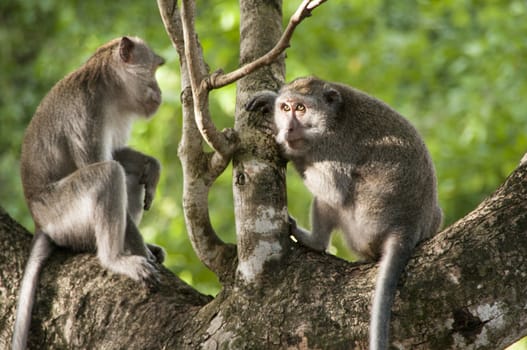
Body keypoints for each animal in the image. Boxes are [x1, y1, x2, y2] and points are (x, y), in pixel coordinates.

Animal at [12, 36, 166, 350]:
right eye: (154, 70)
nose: (160, 91)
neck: (109, 87)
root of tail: (39, 222)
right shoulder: (87, 114)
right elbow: (100, 163)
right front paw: (141, 252)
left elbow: (117, 154)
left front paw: (151, 166)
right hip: (61, 214)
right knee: (108, 174)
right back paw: (115, 259)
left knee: (127, 176)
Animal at [246, 77, 442, 350]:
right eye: (286, 108)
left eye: (301, 108)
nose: (289, 129)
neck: (331, 119)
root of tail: (407, 225)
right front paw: (269, 99)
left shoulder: (332, 147)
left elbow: (334, 188)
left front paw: (282, 145)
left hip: (362, 224)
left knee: (331, 199)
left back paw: (314, 241)